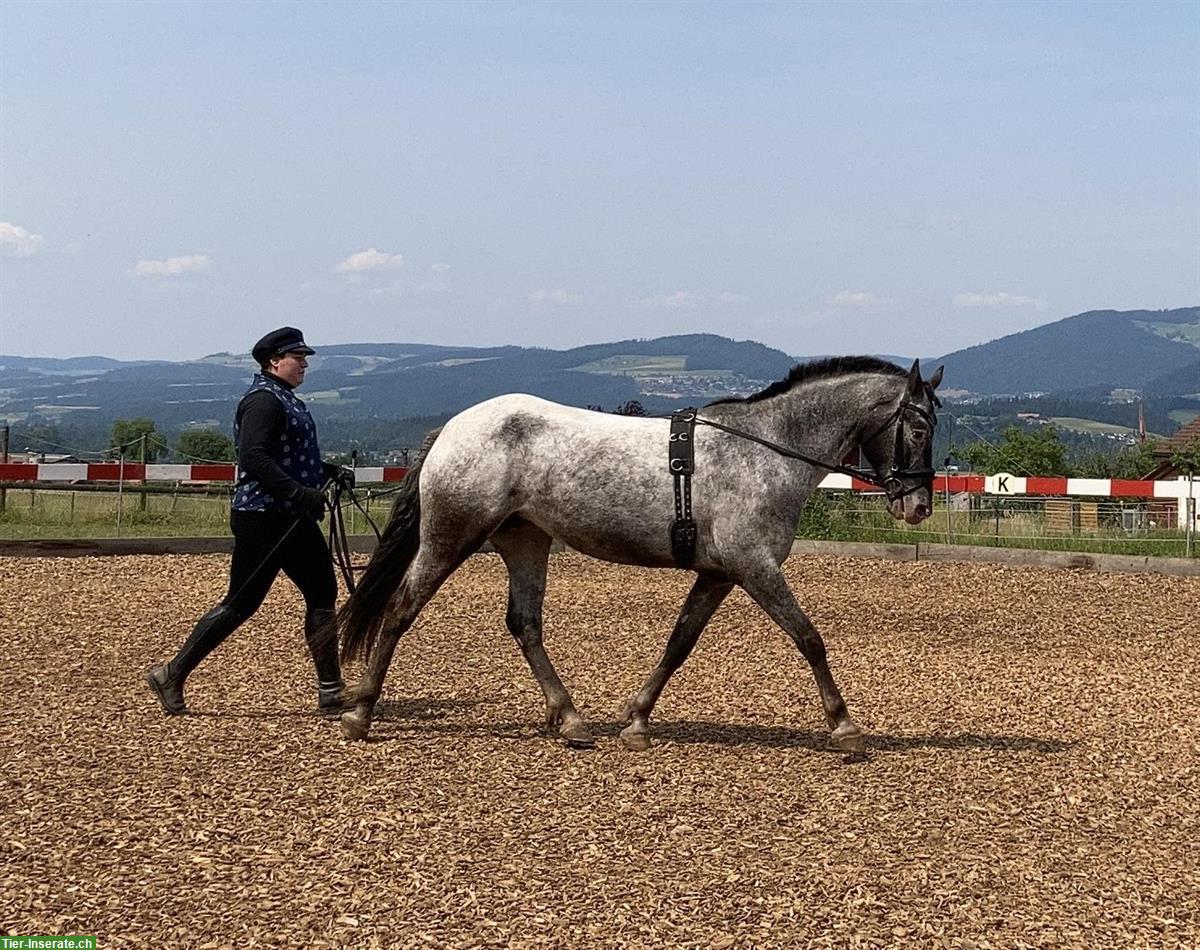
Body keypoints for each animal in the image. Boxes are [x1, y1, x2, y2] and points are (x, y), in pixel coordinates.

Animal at [333, 352, 940, 753]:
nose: (917, 506)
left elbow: (679, 644)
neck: (766, 451)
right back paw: (360, 714)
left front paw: (637, 720)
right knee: (401, 610)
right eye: (917, 427)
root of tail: (453, 428)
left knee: (524, 623)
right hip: (450, 537)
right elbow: (809, 638)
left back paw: (571, 719)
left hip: (526, 540)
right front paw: (845, 727)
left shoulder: (719, 574)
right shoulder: (754, 566)